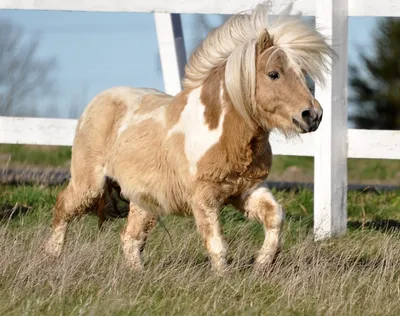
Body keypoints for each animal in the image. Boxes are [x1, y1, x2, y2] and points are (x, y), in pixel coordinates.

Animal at [45, 2, 334, 272]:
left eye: (302, 74)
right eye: (273, 74)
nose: (313, 115)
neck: (223, 134)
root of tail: (97, 101)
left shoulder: (247, 189)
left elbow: (275, 216)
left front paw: (262, 264)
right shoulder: (203, 198)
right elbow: (217, 245)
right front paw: (225, 279)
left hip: (143, 200)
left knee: (130, 238)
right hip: (90, 184)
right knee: (63, 208)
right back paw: (52, 257)